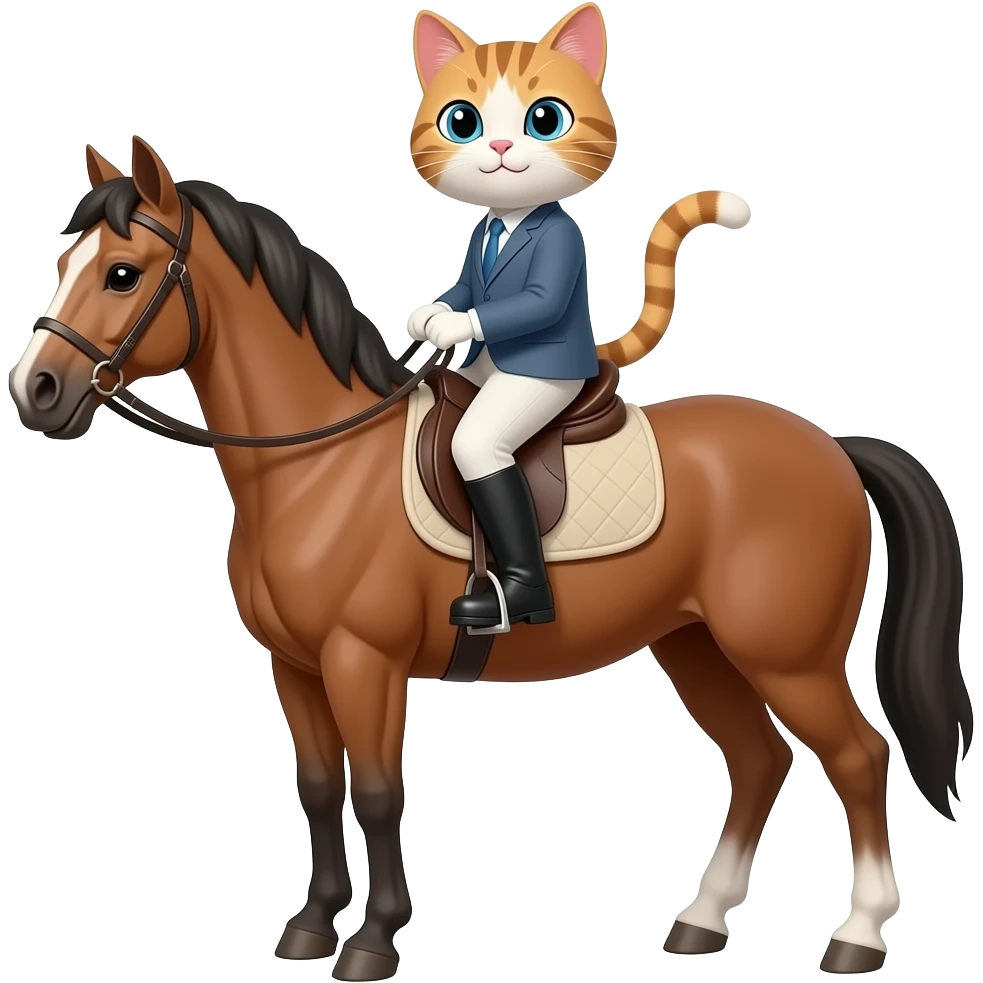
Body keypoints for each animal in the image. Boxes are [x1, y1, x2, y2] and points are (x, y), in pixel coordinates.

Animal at [8, 136, 970, 981]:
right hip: (695, 645)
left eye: (122, 272)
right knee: (759, 759)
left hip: (787, 655)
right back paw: (699, 923)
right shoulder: (294, 664)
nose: (36, 391)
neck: (317, 462)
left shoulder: (364, 660)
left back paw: (857, 936)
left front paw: (372, 941)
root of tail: (831, 444)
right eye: (64, 263)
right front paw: (311, 926)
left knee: (857, 757)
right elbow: (318, 788)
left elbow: (378, 791)